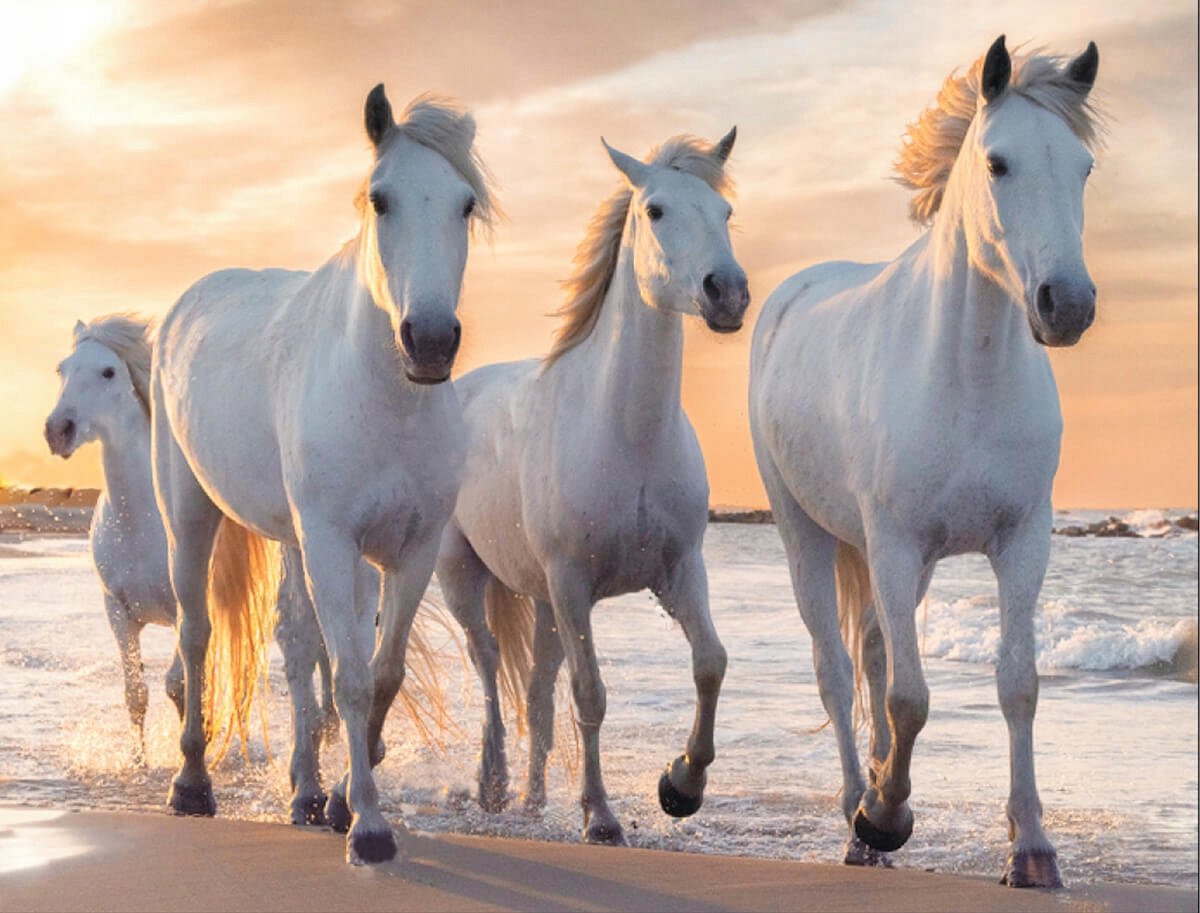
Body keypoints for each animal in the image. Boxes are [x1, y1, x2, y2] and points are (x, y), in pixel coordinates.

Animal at [43, 314, 341, 821]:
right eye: (62, 369)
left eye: (107, 372)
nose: (57, 430)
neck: (137, 520)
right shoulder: (117, 611)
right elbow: (137, 694)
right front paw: (140, 763)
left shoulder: (187, 604)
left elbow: (178, 685)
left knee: (319, 654)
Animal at [151, 86, 495, 864]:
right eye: (382, 199)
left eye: (464, 204)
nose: (431, 341)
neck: (387, 399)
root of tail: (187, 303)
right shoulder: (335, 544)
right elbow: (352, 679)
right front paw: (368, 827)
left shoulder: (410, 550)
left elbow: (381, 672)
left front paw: (341, 801)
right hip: (189, 514)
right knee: (196, 633)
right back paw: (191, 784)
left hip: (295, 540)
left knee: (296, 643)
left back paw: (305, 793)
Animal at [435, 129, 748, 844]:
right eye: (655, 210)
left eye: (725, 213)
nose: (727, 293)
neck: (627, 435)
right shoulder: (574, 582)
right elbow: (591, 695)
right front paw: (601, 817)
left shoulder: (678, 572)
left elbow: (710, 663)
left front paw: (680, 785)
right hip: (466, 578)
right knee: (489, 667)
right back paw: (492, 786)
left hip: (543, 601)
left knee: (535, 690)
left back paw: (531, 799)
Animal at [748, 36, 1101, 887]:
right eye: (999, 163)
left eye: (1083, 167)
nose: (1067, 304)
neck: (966, 376)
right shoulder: (896, 542)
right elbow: (910, 697)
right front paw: (885, 814)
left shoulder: (1021, 542)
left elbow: (1017, 683)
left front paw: (1032, 846)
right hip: (806, 533)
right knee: (838, 669)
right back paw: (859, 812)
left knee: (874, 650)